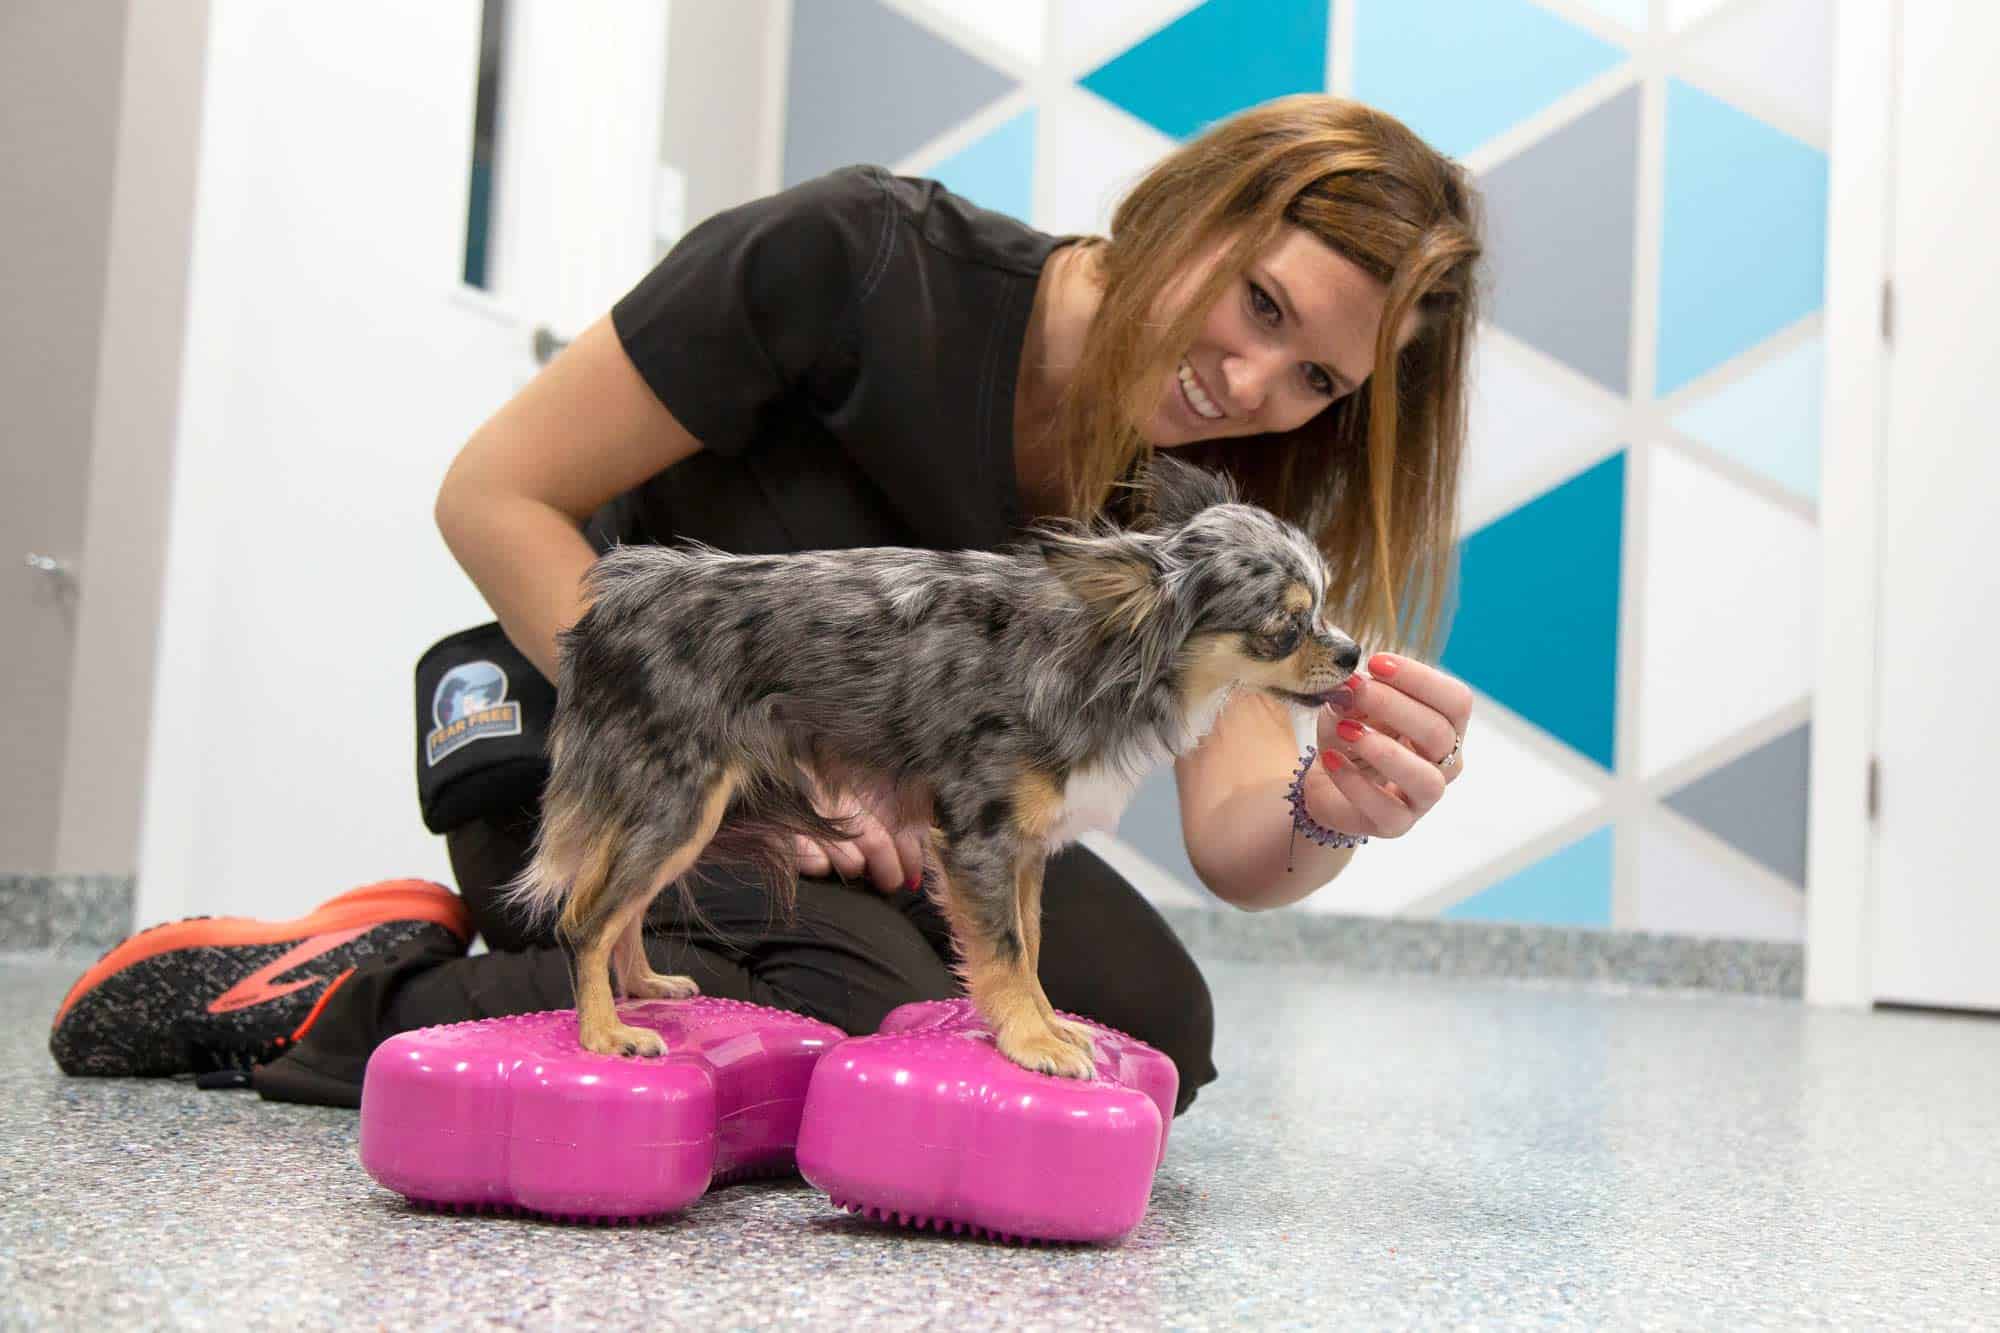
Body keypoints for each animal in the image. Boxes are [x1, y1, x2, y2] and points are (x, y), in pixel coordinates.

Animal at [508, 456, 1368, 1080]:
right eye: (1285, 627)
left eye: (1326, 607)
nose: (1355, 651)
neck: (1098, 650)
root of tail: (614, 605)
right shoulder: (979, 839)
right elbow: (1004, 951)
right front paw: (1031, 1042)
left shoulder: (1022, 850)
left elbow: (1029, 947)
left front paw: (1047, 1022)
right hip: (680, 802)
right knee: (584, 916)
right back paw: (603, 1034)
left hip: (676, 813)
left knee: (622, 905)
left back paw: (642, 989)